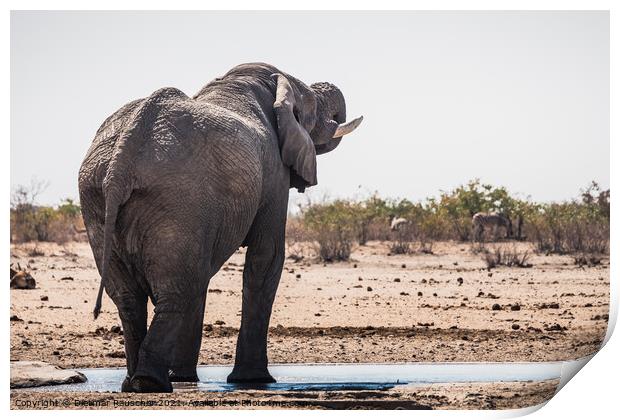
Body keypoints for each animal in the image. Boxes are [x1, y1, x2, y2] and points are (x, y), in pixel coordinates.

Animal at [76, 63, 364, 394]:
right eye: (313, 108)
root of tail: (121, 161)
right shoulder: (274, 172)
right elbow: (266, 258)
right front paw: (255, 380)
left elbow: (202, 275)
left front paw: (186, 378)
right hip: (177, 197)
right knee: (176, 289)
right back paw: (150, 383)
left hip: (97, 199)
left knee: (136, 295)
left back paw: (137, 383)